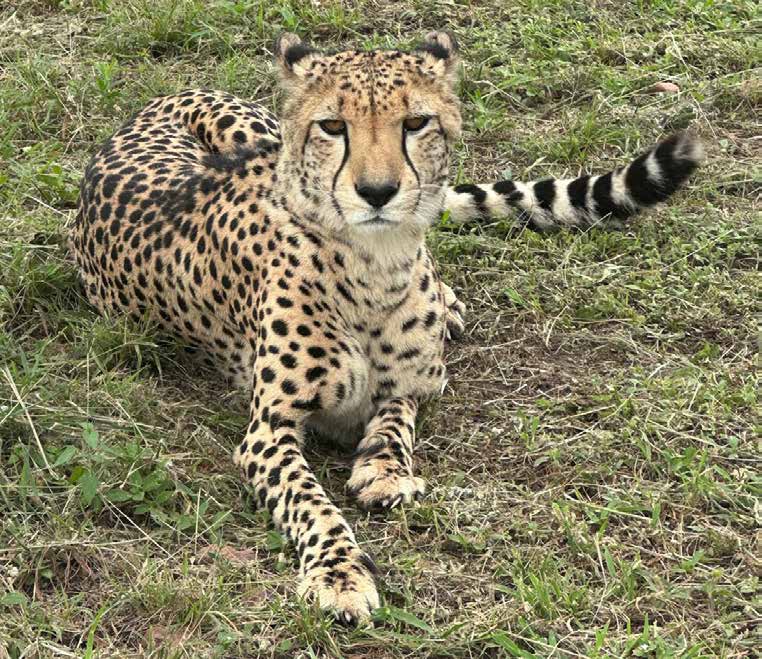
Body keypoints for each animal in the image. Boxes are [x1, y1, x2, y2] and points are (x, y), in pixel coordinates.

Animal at [69, 30, 703, 625]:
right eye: (333, 126)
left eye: (415, 123)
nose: (378, 192)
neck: (377, 263)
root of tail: (149, 107)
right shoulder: (268, 430)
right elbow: (310, 503)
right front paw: (340, 575)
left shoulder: (416, 383)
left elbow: (398, 416)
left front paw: (383, 469)